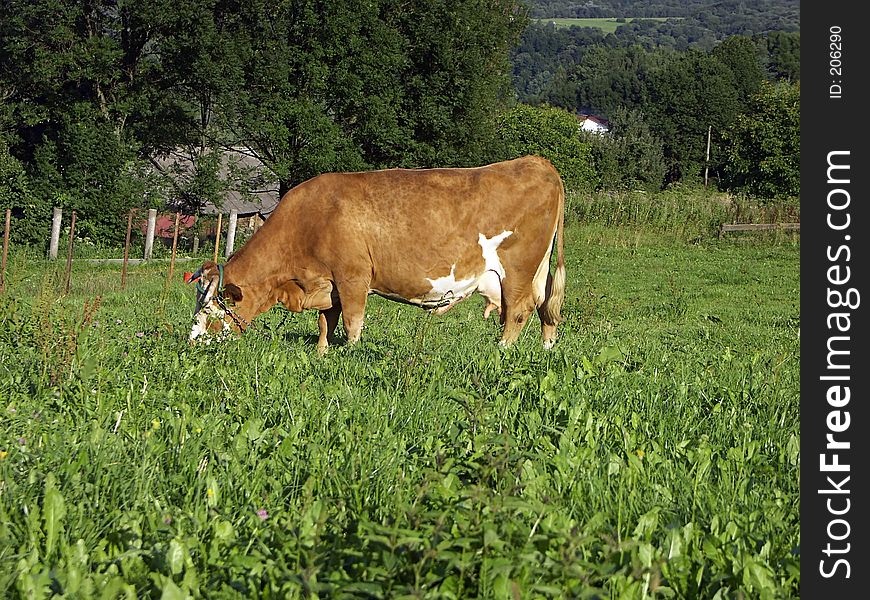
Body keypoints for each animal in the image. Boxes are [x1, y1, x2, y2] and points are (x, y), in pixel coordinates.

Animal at [188, 154, 568, 352]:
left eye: (208, 309)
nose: (191, 343)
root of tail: (536, 161)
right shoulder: (328, 283)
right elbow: (326, 321)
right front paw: (321, 353)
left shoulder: (353, 277)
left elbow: (352, 323)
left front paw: (350, 354)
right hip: (536, 271)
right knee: (545, 309)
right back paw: (545, 351)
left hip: (517, 269)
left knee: (518, 311)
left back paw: (502, 352)